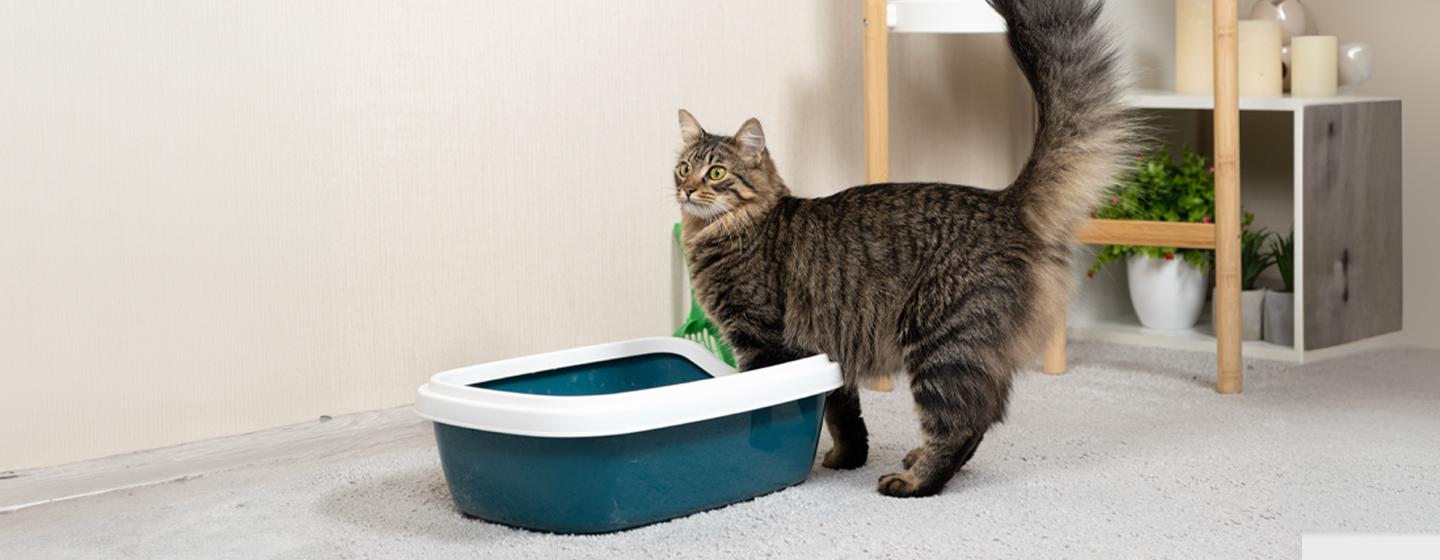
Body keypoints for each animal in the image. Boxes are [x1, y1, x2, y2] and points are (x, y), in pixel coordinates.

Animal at [674, 0, 1136, 497]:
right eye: (682, 167)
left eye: (716, 173)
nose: (687, 189)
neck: (723, 232)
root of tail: (1004, 201)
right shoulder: (829, 353)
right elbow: (843, 416)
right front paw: (846, 459)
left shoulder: (763, 341)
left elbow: (770, 409)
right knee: (983, 417)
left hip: (941, 342)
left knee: (961, 424)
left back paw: (915, 482)